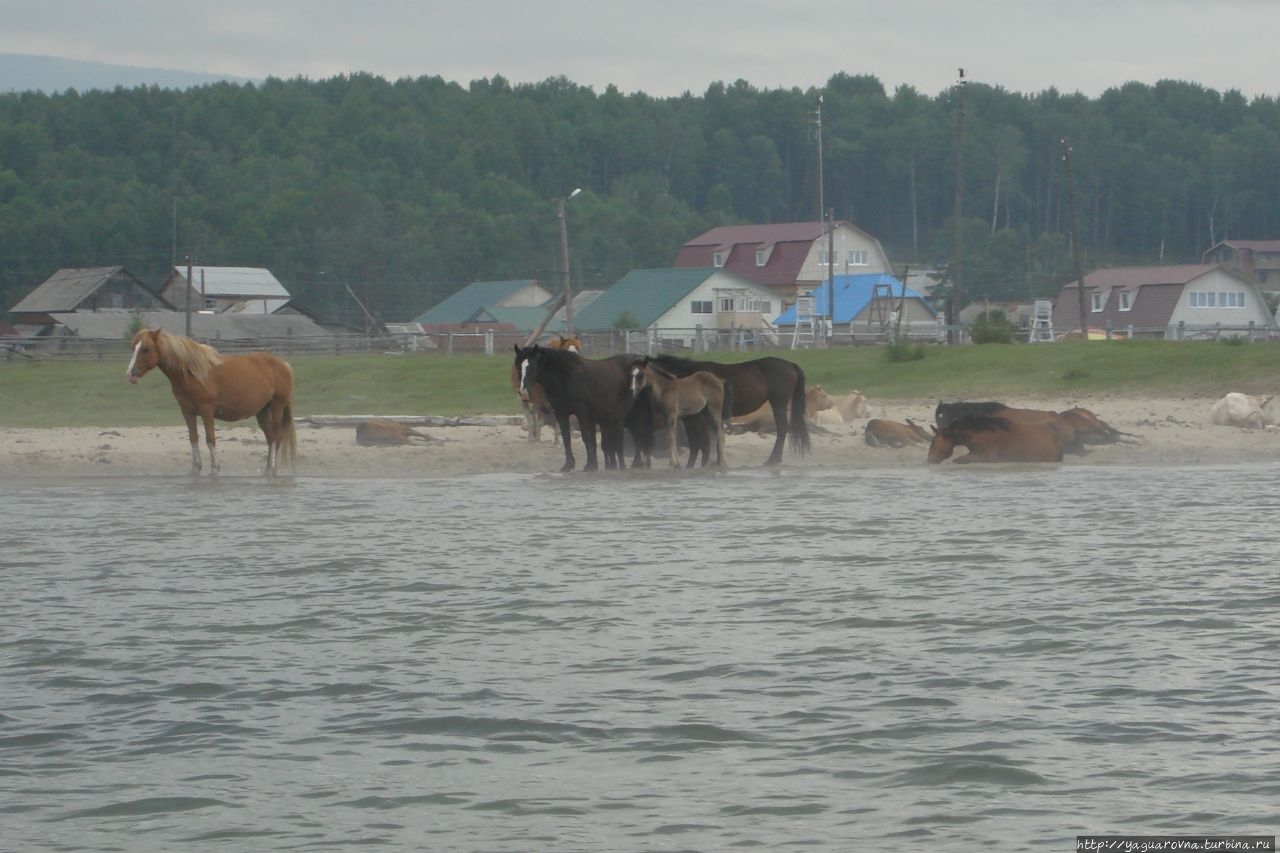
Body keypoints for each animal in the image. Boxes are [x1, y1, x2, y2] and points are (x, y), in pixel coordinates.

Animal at [126, 325, 296, 473]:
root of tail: (284, 365)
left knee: (277, 436)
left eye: (146, 348)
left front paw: (215, 468)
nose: (130, 374)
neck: (192, 373)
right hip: (262, 411)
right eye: (133, 347)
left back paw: (272, 468)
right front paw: (195, 468)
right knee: (270, 437)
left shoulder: (206, 410)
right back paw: (267, 469)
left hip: (278, 406)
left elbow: (210, 438)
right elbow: (193, 438)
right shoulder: (187, 411)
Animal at [650, 350, 808, 466]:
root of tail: (790, 365)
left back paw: (773, 460)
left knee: (782, 428)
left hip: (779, 403)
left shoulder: (695, 418)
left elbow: (702, 439)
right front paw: (717, 460)